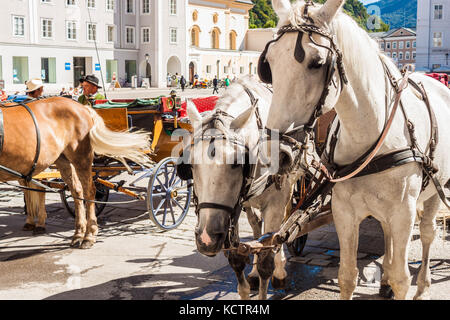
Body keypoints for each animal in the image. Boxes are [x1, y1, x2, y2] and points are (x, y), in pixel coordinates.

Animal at [0, 97, 153, 248]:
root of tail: (83, 107)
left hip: (81, 157)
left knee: (89, 191)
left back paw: (88, 235)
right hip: (61, 159)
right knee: (76, 191)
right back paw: (78, 233)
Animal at [183, 75, 310, 300]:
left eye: (237, 162)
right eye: (190, 165)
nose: (207, 238)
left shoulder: (276, 202)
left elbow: (269, 253)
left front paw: (273, 270)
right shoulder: (240, 204)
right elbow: (243, 251)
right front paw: (250, 275)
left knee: (283, 225)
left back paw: (280, 268)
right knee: (258, 227)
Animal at [264, 0, 450, 300]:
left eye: (317, 63)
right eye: (268, 63)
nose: (275, 153)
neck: (368, 131)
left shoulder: (403, 212)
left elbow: (402, 279)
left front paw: (400, 282)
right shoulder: (345, 211)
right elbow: (347, 276)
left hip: (436, 188)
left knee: (428, 233)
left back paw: (423, 286)